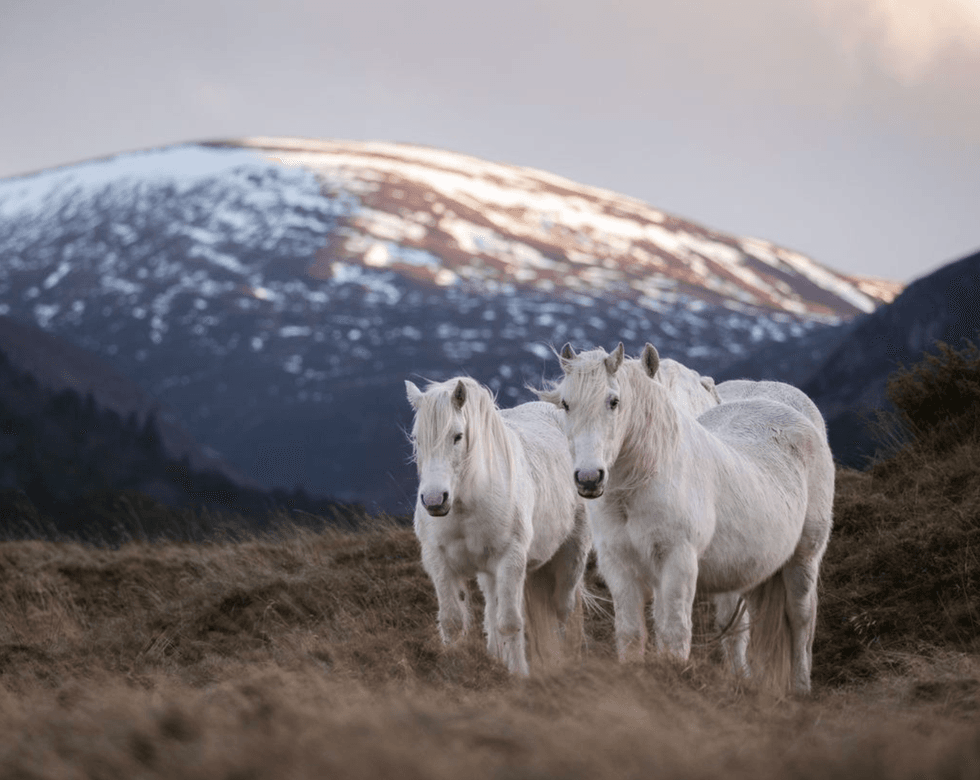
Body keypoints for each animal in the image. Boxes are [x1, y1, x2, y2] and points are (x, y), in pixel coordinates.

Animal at [405, 376, 592, 676]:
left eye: (457, 436)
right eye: (416, 439)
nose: (434, 500)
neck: (466, 505)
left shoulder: (510, 559)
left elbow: (510, 622)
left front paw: (518, 675)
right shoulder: (439, 560)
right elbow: (452, 621)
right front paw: (453, 669)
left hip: (571, 555)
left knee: (563, 608)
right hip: (489, 573)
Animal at [535, 343, 834, 694]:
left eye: (614, 401)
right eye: (566, 403)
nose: (588, 478)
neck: (642, 484)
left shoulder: (677, 562)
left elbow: (674, 632)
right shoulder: (619, 566)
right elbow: (631, 633)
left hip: (804, 558)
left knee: (800, 618)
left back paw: (800, 688)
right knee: (738, 627)